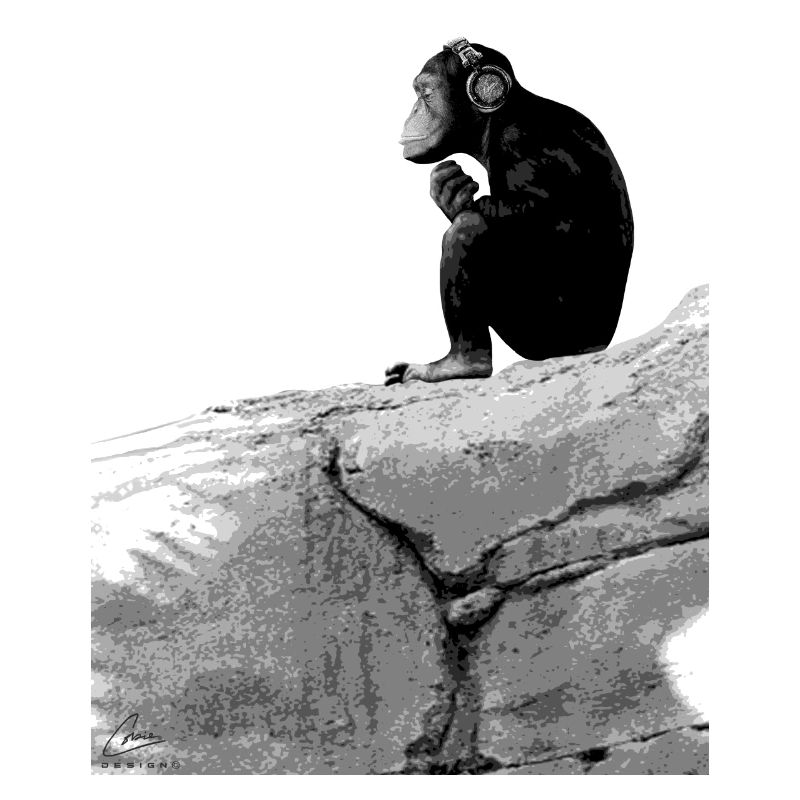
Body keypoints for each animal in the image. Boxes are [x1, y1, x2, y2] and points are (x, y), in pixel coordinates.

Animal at [385, 39, 633, 386]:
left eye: (425, 94)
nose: (414, 111)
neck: (495, 123)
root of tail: (599, 344)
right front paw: (449, 189)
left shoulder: (518, 139)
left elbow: (544, 213)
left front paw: (454, 196)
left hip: (544, 332)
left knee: (469, 230)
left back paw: (462, 363)